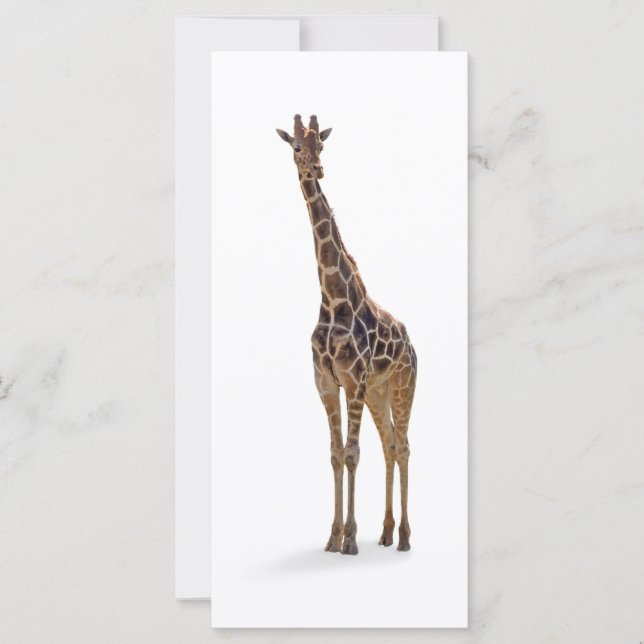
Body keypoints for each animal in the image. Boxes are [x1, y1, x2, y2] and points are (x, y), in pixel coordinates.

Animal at [276, 114, 417, 555]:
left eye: (321, 145)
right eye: (296, 148)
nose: (316, 170)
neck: (334, 297)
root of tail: (413, 346)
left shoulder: (352, 380)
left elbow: (353, 453)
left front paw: (351, 539)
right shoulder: (326, 381)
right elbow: (336, 454)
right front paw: (333, 536)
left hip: (403, 386)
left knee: (404, 446)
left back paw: (405, 538)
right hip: (378, 392)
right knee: (390, 445)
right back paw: (386, 533)